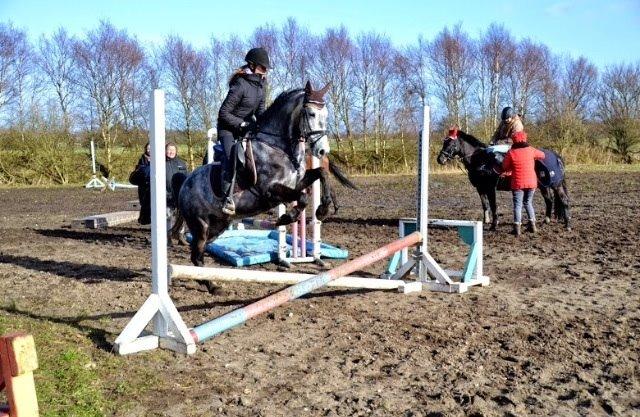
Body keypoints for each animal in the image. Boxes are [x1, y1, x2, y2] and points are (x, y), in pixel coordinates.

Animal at [172, 81, 350, 264]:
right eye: (312, 114)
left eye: (326, 115)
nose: (323, 151)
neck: (277, 147)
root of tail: (184, 184)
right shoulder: (269, 190)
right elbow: (302, 198)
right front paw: (287, 217)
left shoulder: (296, 183)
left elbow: (321, 173)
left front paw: (323, 210)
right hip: (201, 225)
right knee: (197, 255)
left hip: (218, 226)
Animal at [438, 129, 572, 229]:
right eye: (444, 142)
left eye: (451, 144)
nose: (440, 159)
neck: (480, 160)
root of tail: (556, 156)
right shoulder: (480, 188)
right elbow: (485, 205)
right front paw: (486, 221)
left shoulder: (490, 188)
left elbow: (493, 205)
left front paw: (494, 225)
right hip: (544, 186)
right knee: (549, 200)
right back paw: (547, 220)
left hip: (556, 185)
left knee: (564, 200)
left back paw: (567, 225)